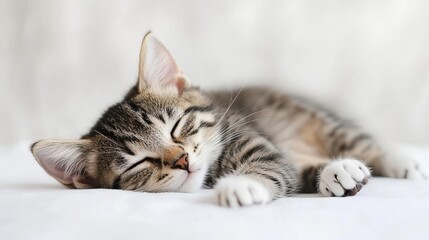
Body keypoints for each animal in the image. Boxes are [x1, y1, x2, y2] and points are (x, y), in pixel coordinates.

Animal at [30, 32, 428, 207]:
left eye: (176, 127)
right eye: (138, 163)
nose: (182, 160)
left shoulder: (255, 141)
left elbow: (271, 166)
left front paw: (242, 185)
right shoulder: (282, 157)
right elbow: (290, 171)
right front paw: (335, 174)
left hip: (311, 116)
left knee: (357, 140)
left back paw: (402, 160)